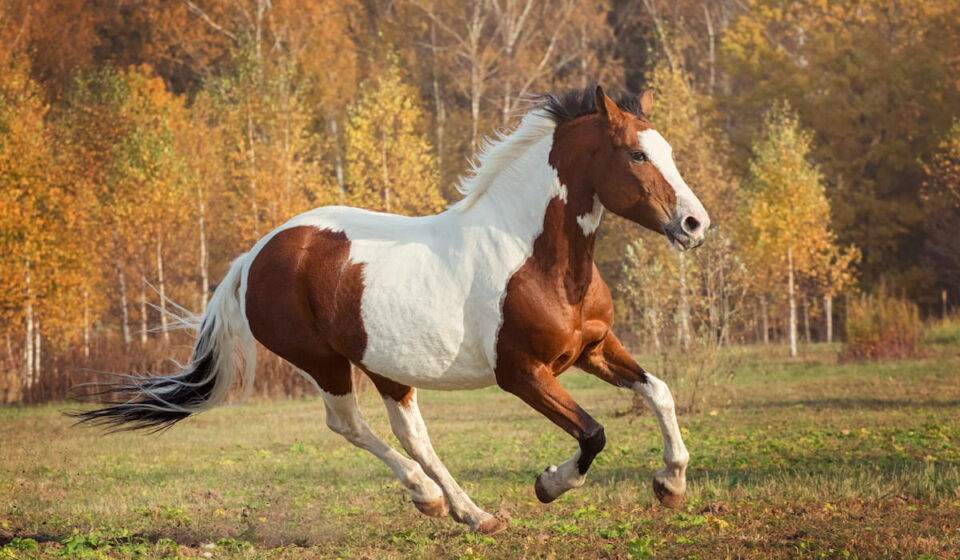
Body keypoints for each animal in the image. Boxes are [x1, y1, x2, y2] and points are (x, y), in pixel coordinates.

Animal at [73, 85, 710, 535]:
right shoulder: (523, 374)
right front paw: (549, 484)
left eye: (669, 151)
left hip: (384, 365)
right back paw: (428, 499)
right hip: (325, 362)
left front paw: (670, 485)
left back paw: (472, 514)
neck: (535, 258)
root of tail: (257, 254)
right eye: (635, 154)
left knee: (412, 434)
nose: (694, 224)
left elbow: (658, 392)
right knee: (351, 425)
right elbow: (593, 433)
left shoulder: (592, 349)